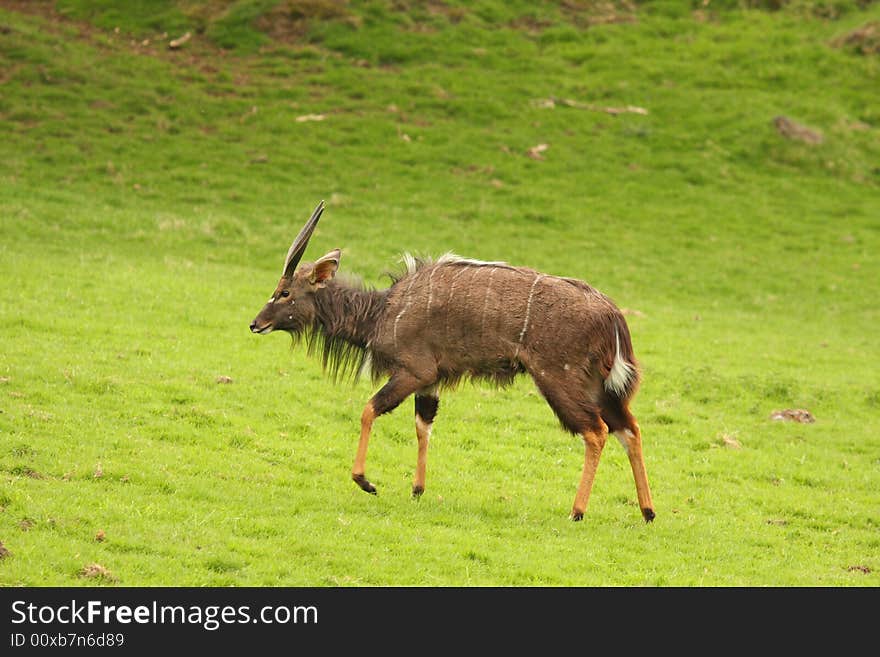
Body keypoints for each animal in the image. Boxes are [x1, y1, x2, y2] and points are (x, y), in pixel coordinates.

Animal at [248, 202, 652, 520]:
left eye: (284, 292)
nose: (255, 323)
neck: (382, 311)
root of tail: (611, 314)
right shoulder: (430, 382)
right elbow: (422, 426)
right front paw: (417, 489)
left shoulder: (414, 372)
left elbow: (369, 409)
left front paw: (366, 481)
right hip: (598, 386)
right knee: (629, 428)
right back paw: (648, 512)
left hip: (558, 379)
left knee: (597, 431)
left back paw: (577, 511)